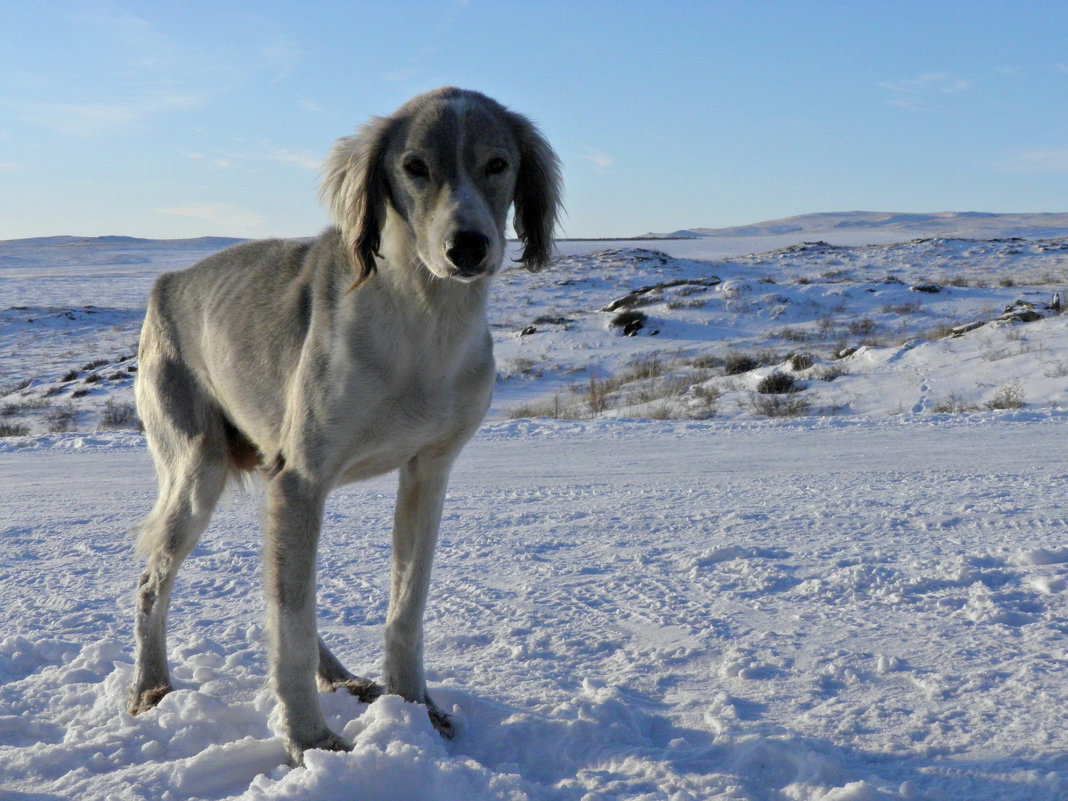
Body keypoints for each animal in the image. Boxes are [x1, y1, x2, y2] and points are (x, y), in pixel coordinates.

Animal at [129, 87, 563, 764]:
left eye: (498, 163)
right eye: (414, 167)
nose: (467, 247)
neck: (422, 320)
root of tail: (167, 283)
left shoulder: (427, 472)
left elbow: (404, 609)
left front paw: (416, 709)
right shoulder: (302, 479)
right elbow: (291, 626)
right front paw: (309, 741)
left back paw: (340, 676)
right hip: (195, 470)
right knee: (154, 581)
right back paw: (152, 688)